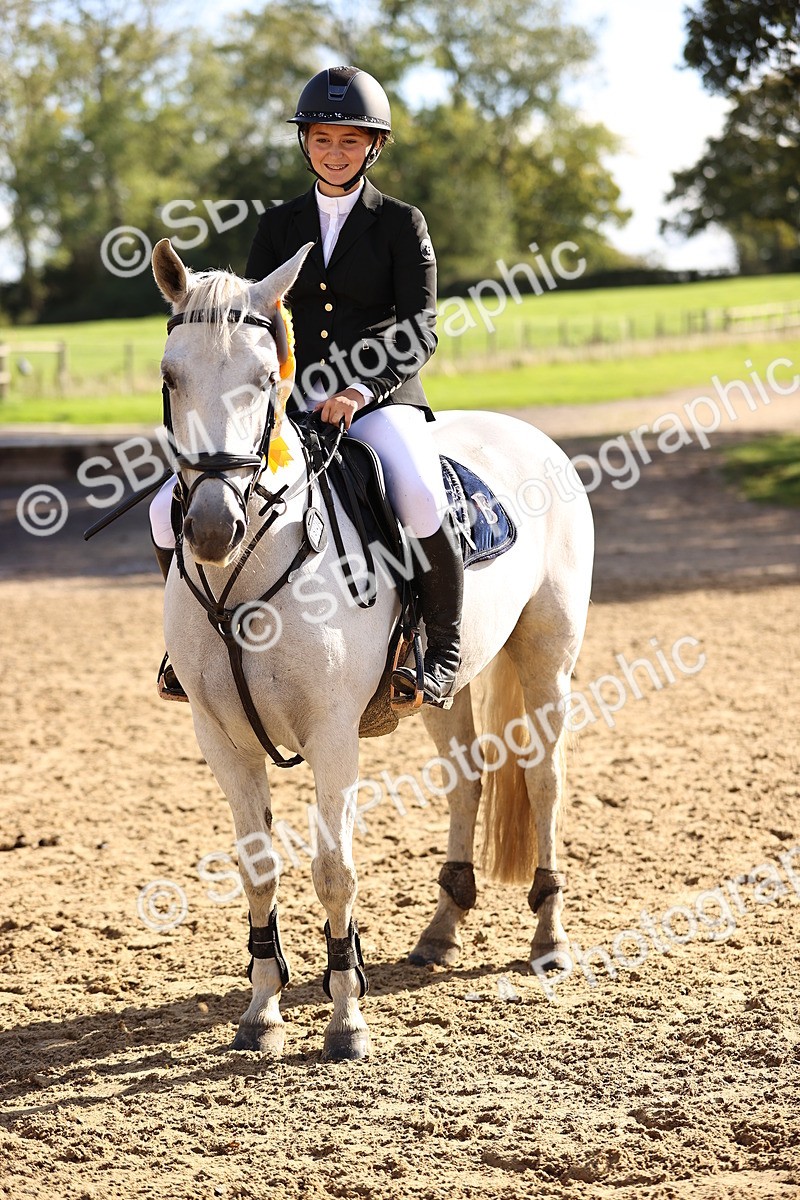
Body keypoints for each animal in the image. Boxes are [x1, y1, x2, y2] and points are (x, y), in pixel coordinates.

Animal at [152, 237, 594, 1061]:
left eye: (265, 380)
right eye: (171, 376)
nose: (212, 528)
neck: (249, 566)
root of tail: (525, 431)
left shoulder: (332, 735)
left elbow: (334, 871)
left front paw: (345, 1018)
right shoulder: (218, 736)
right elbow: (257, 868)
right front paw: (263, 1011)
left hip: (547, 657)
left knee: (544, 781)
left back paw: (549, 939)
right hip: (440, 685)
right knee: (467, 781)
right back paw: (441, 930)